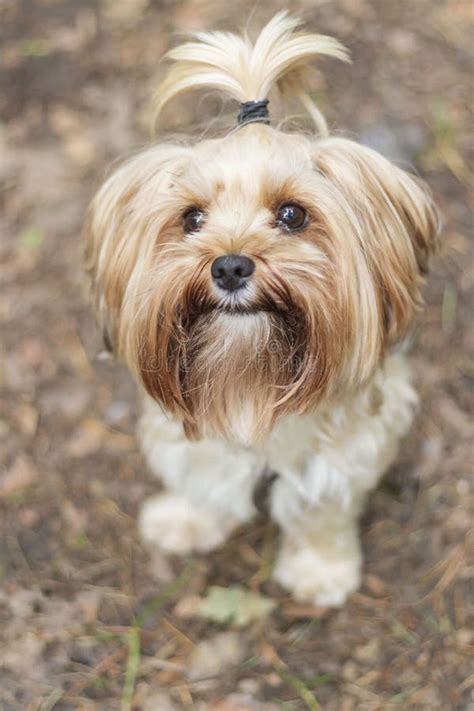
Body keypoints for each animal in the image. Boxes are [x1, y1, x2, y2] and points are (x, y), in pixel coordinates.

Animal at [84, 13, 440, 608]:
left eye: (293, 215)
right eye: (192, 218)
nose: (230, 267)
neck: (248, 375)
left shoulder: (346, 449)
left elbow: (323, 510)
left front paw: (321, 571)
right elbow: (200, 476)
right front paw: (184, 520)